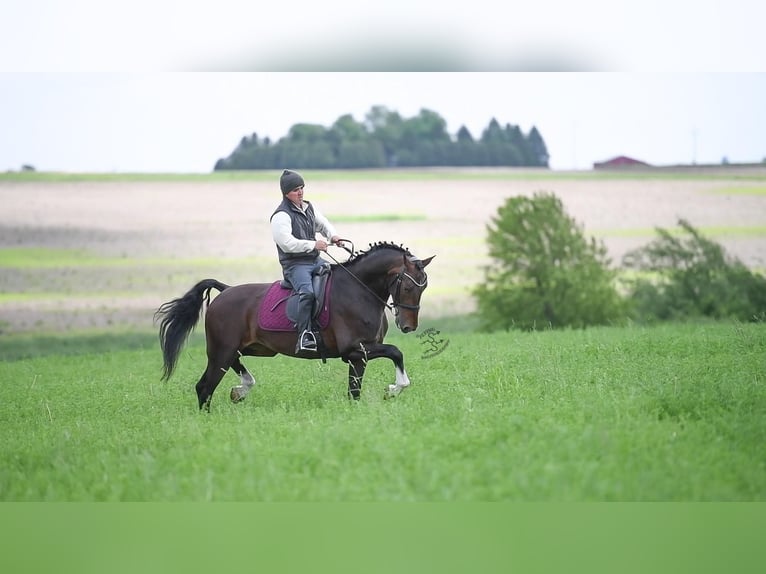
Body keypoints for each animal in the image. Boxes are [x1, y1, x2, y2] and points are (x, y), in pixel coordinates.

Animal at [154, 242, 434, 411]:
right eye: (408, 287)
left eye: (424, 287)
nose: (408, 326)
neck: (360, 290)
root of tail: (225, 291)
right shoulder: (356, 349)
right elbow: (396, 352)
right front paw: (394, 389)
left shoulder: (358, 357)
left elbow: (354, 392)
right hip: (221, 351)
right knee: (204, 387)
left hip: (239, 349)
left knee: (226, 374)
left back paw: (241, 390)